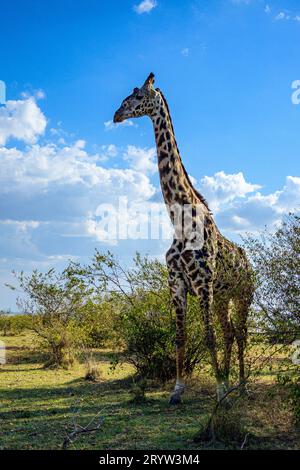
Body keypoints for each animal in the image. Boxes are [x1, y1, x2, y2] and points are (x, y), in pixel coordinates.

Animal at [113, 73, 254, 404]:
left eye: (137, 97)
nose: (116, 115)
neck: (180, 222)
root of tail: (249, 265)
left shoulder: (202, 283)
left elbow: (208, 336)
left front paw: (219, 391)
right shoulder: (176, 283)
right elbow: (181, 336)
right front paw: (177, 390)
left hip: (243, 295)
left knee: (240, 333)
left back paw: (241, 385)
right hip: (224, 296)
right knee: (230, 333)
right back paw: (233, 382)